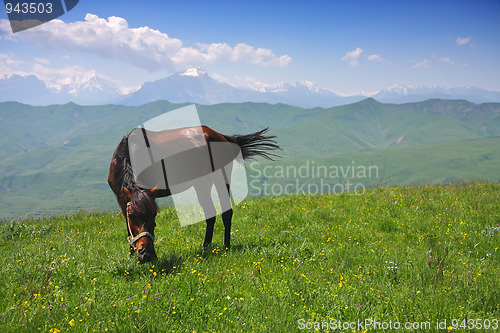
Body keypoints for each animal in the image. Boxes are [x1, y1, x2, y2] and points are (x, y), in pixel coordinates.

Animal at [107, 124, 280, 262]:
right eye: (132, 216)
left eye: (154, 216)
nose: (147, 255)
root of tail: (222, 137)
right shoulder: (122, 198)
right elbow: (126, 225)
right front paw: (131, 254)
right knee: (210, 213)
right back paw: (206, 247)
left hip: (219, 179)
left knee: (225, 212)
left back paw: (225, 246)